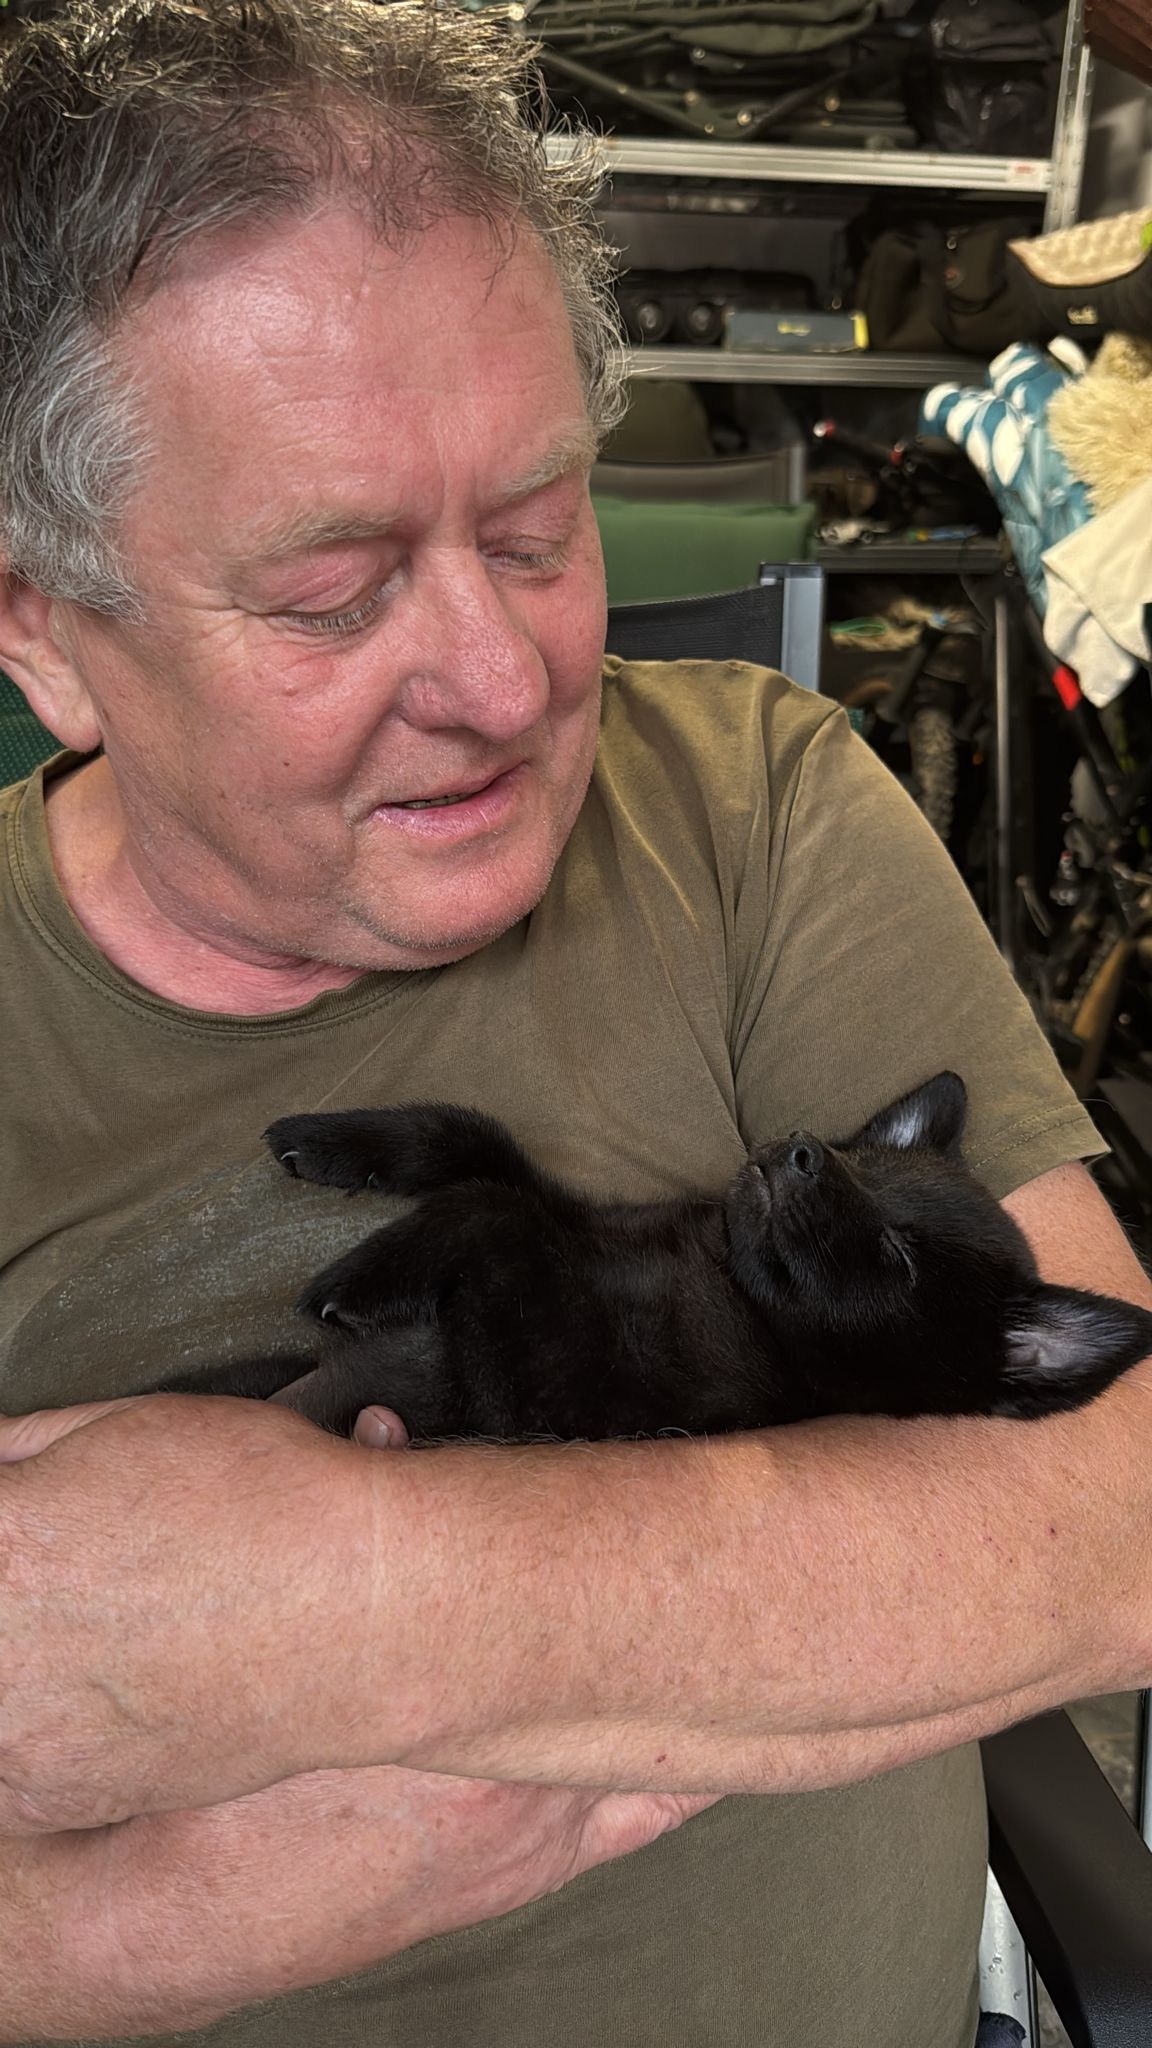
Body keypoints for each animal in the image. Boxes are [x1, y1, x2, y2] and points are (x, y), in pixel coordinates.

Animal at [166, 1071, 1152, 1442]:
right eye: (865, 1165)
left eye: (898, 1257)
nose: (803, 1151)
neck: (721, 1274)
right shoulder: (568, 1215)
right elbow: (469, 1138)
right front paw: (330, 1141)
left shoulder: (527, 1377)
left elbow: (491, 1209)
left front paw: (364, 1277)